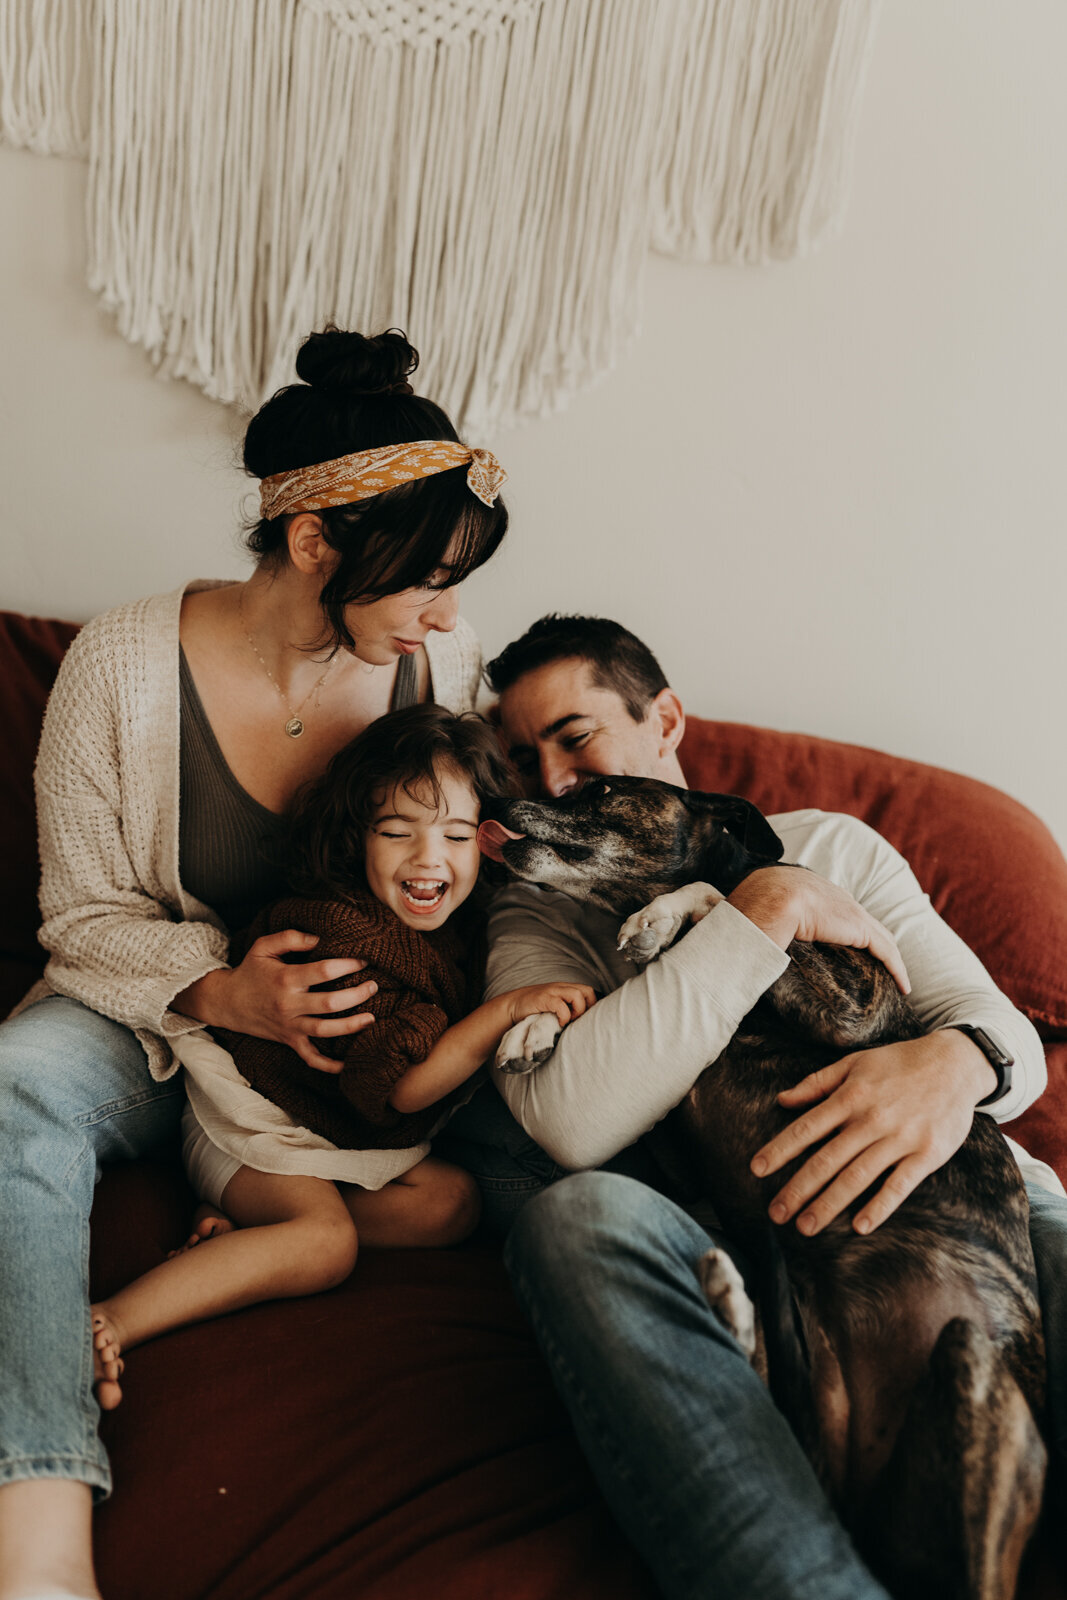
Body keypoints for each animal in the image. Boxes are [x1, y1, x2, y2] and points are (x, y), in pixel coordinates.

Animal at [489, 777, 1049, 1600]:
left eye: (603, 790)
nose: (499, 798)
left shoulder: (854, 1005)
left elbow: (726, 900)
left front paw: (662, 917)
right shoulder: (679, 1154)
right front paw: (534, 1025)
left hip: (970, 1368)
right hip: (826, 1385)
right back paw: (732, 1300)